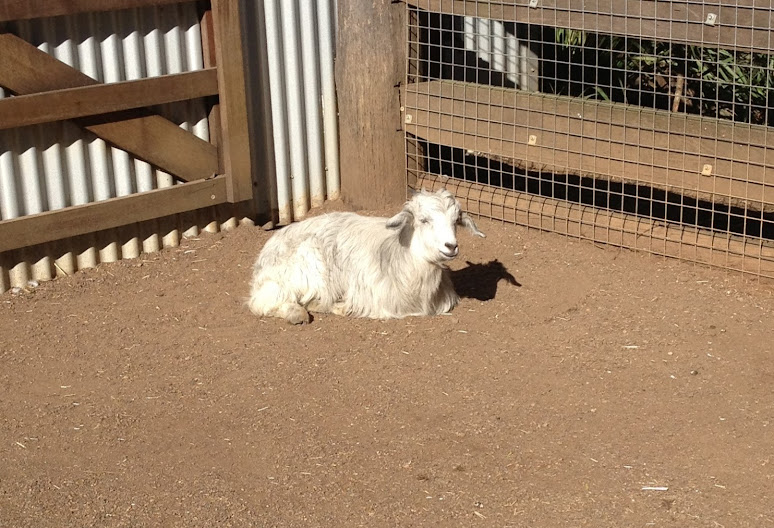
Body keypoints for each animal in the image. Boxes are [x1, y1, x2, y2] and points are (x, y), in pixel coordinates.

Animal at [247, 188, 485, 324]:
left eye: (455, 221)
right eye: (424, 220)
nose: (451, 246)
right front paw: (341, 307)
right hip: (305, 264)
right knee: (263, 302)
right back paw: (300, 314)